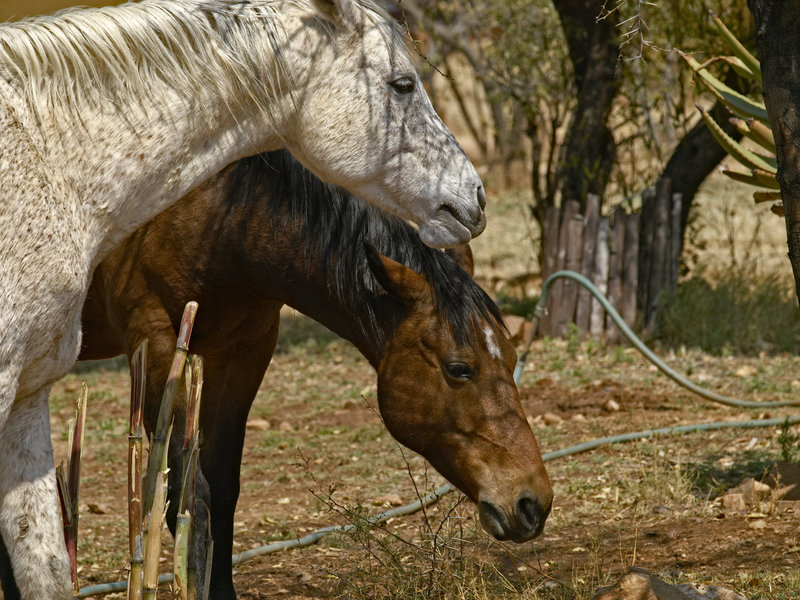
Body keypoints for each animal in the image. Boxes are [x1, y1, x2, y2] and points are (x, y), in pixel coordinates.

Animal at [69, 150, 547, 599]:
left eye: (512, 357)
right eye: (458, 368)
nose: (533, 503)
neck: (217, 217)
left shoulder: (244, 351)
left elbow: (221, 489)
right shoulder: (153, 343)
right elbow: (184, 498)